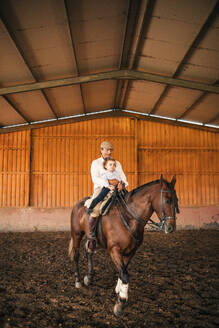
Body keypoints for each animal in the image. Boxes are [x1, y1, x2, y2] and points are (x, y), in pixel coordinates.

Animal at [69, 174, 180, 316]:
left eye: (176, 200)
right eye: (167, 200)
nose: (171, 228)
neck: (128, 218)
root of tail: (78, 204)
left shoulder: (131, 251)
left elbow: (123, 270)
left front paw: (119, 289)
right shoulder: (114, 250)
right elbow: (125, 274)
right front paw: (120, 303)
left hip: (91, 238)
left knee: (89, 251)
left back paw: (89, 277)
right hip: (76, 234)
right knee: (76, 255)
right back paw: (78, 280)